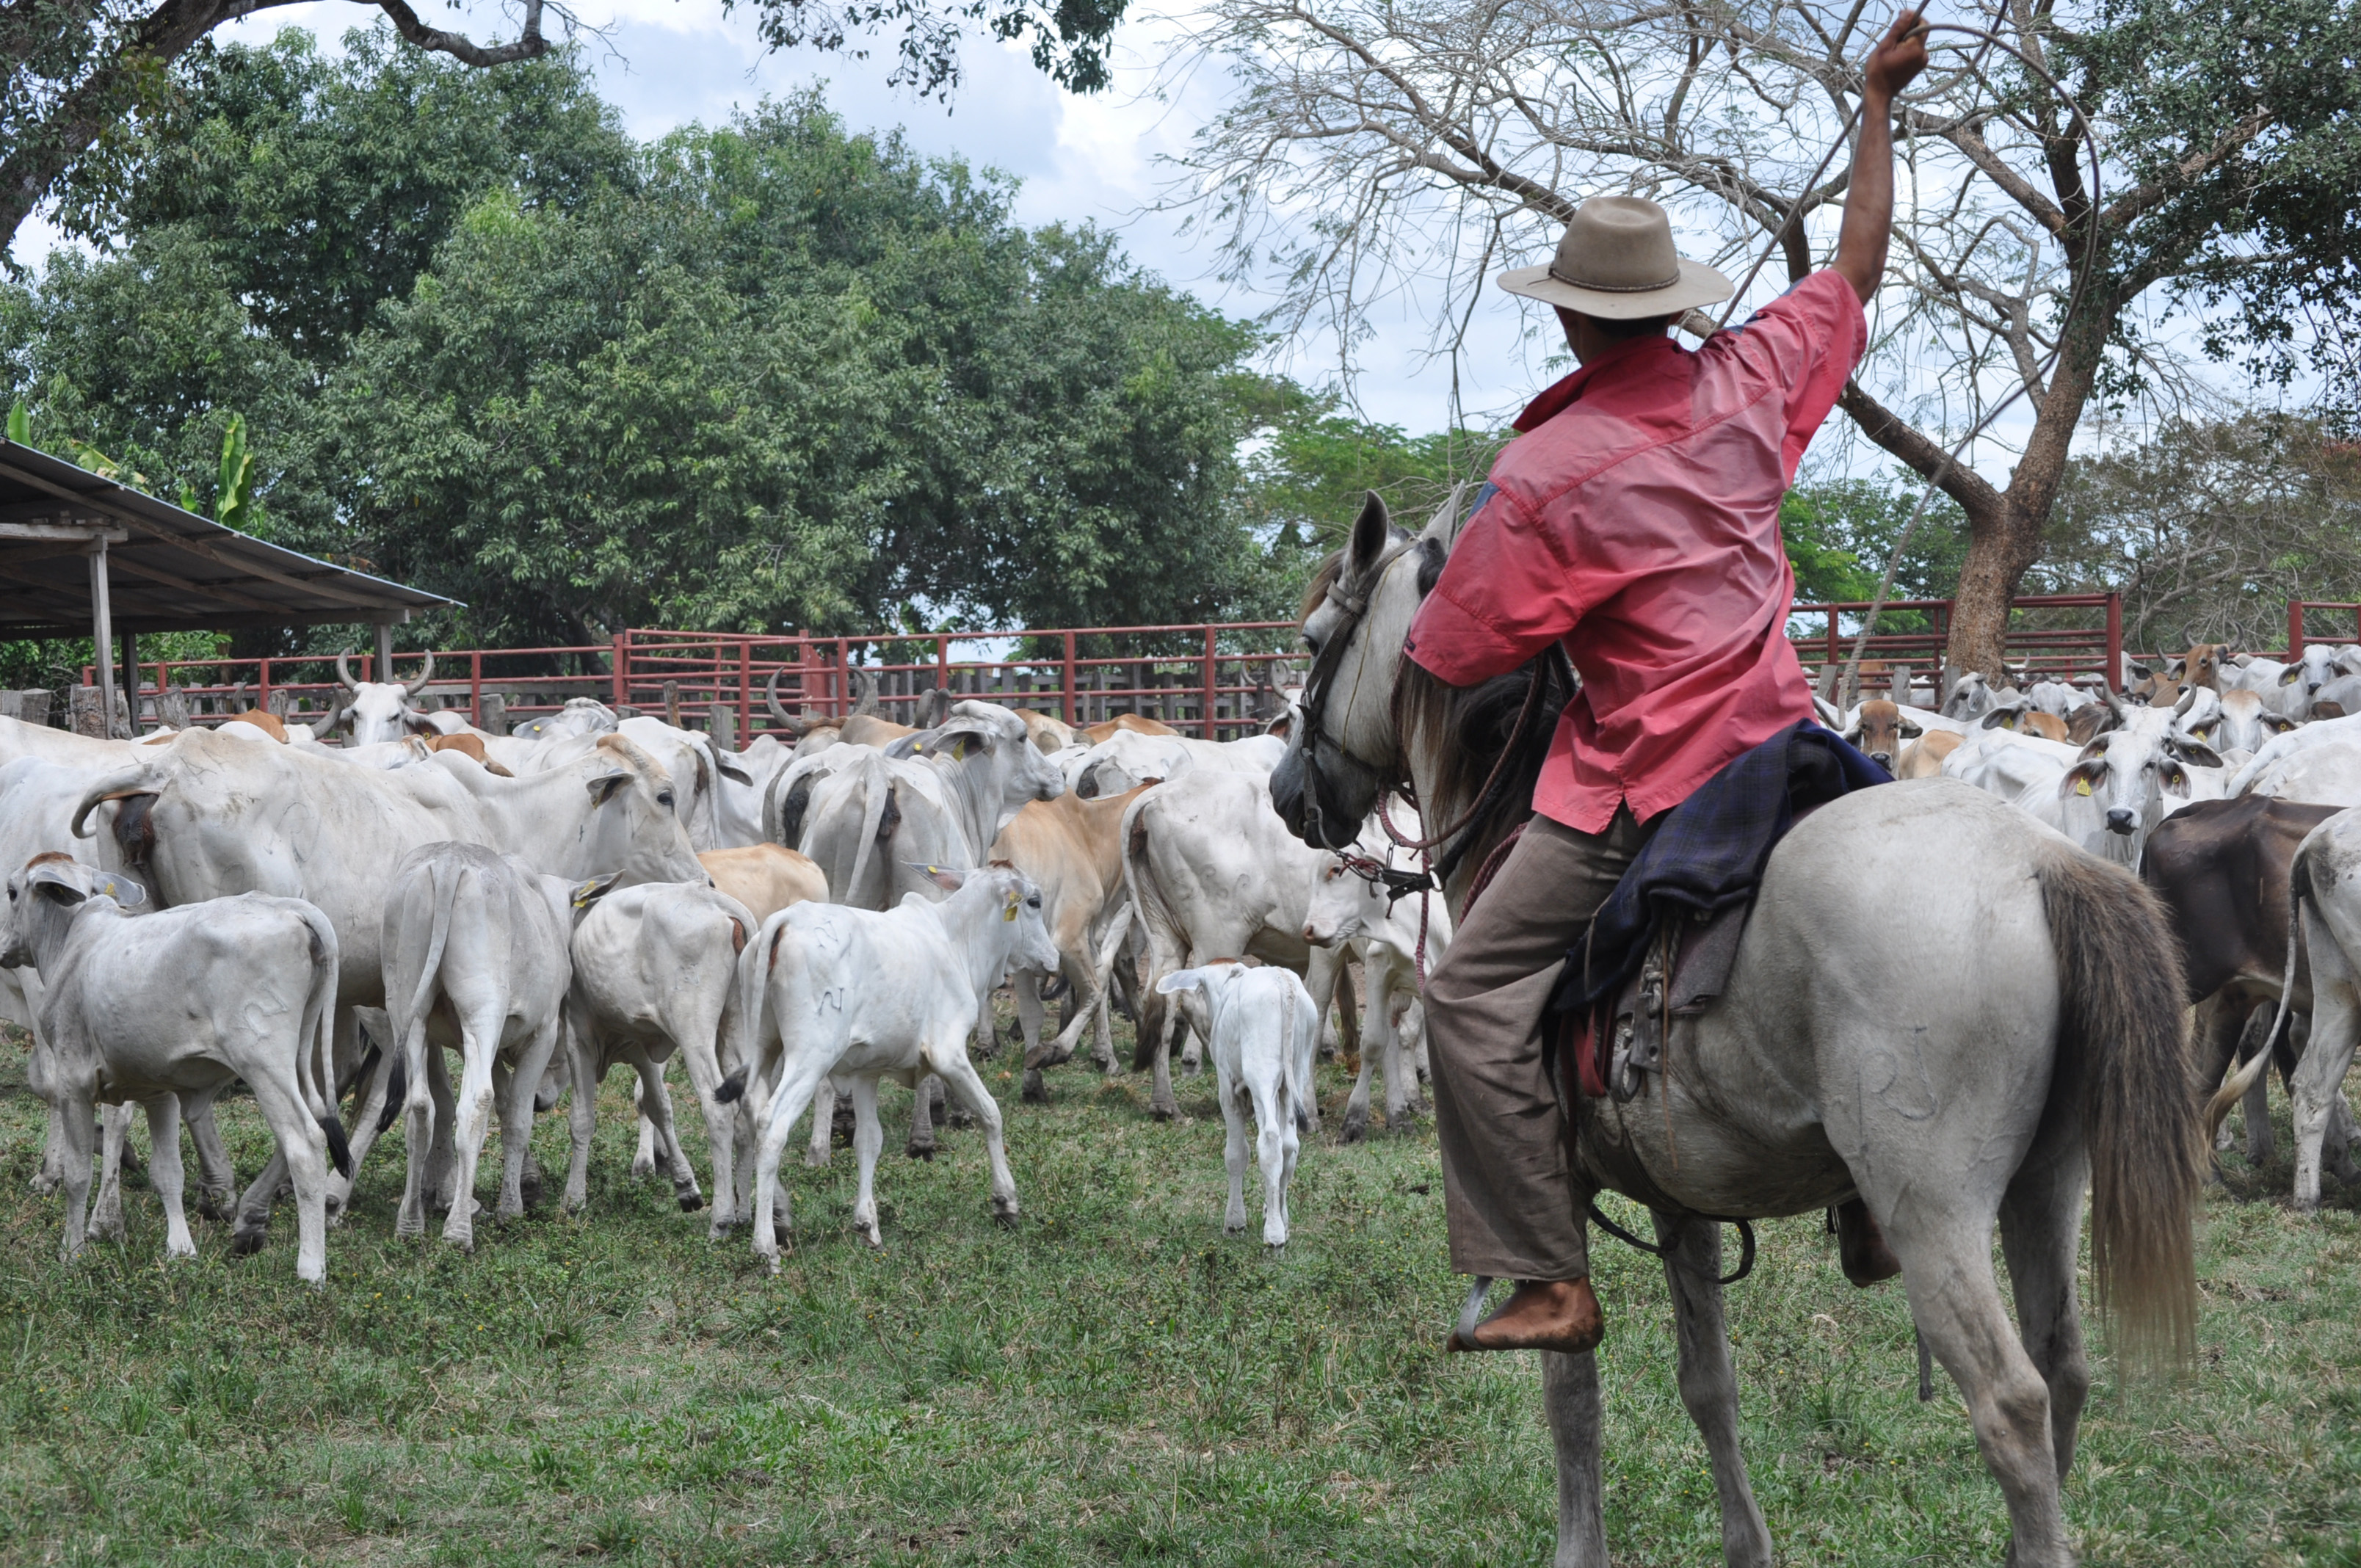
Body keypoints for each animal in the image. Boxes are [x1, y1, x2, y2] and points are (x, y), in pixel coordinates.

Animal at [0, 859, 344, 1284]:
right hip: (300, 1055)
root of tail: (289, 907)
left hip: (263, 1062)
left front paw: (72, 1250)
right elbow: (168, 1173)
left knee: (305, 1142)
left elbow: (79, 1174)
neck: (73, 942)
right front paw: (181, 1249)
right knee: (320, 1115)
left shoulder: (73, 1085)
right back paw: (251, 1226)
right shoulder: (158, 1093)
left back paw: (310, 1268)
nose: (3, 948)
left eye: (12, 892)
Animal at [736, 859, 1053, 1266]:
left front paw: (867, 1224)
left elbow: (869, 1141)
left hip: (763, 1043)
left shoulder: (865, 1072)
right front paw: (1005, 1203)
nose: (1054, 958)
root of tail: (786, 920)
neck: (956, 941)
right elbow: (990, 1114)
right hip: (811, 1056)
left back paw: (780, 1213)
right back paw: (765, 1245)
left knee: (750, 1109)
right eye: (1034, 902)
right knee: (772, 1125)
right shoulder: (948, 1054)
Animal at [1152, 963, 1321, 1246]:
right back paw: (1282, 1222)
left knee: (1270, 1142)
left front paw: (1234, 1222)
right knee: (1289, 1145)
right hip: (1296, 1073)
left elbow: (1236, 1154)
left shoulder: (1227, 1089)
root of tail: (1282, 981)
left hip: (1261, 1073)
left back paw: (1274, 1236)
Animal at [1274, 496, 2210, 1568]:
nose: (1289, 793)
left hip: (1935, 1213)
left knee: (2012, 1404)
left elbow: (1571, 1389)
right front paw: (1746, 1543)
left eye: (1314, 641)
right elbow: (1708, 1386)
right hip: (2044, 1186)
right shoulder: (1681, 1197)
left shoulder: (1557, 1188)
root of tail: (2038, 862)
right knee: (2063, 1370)